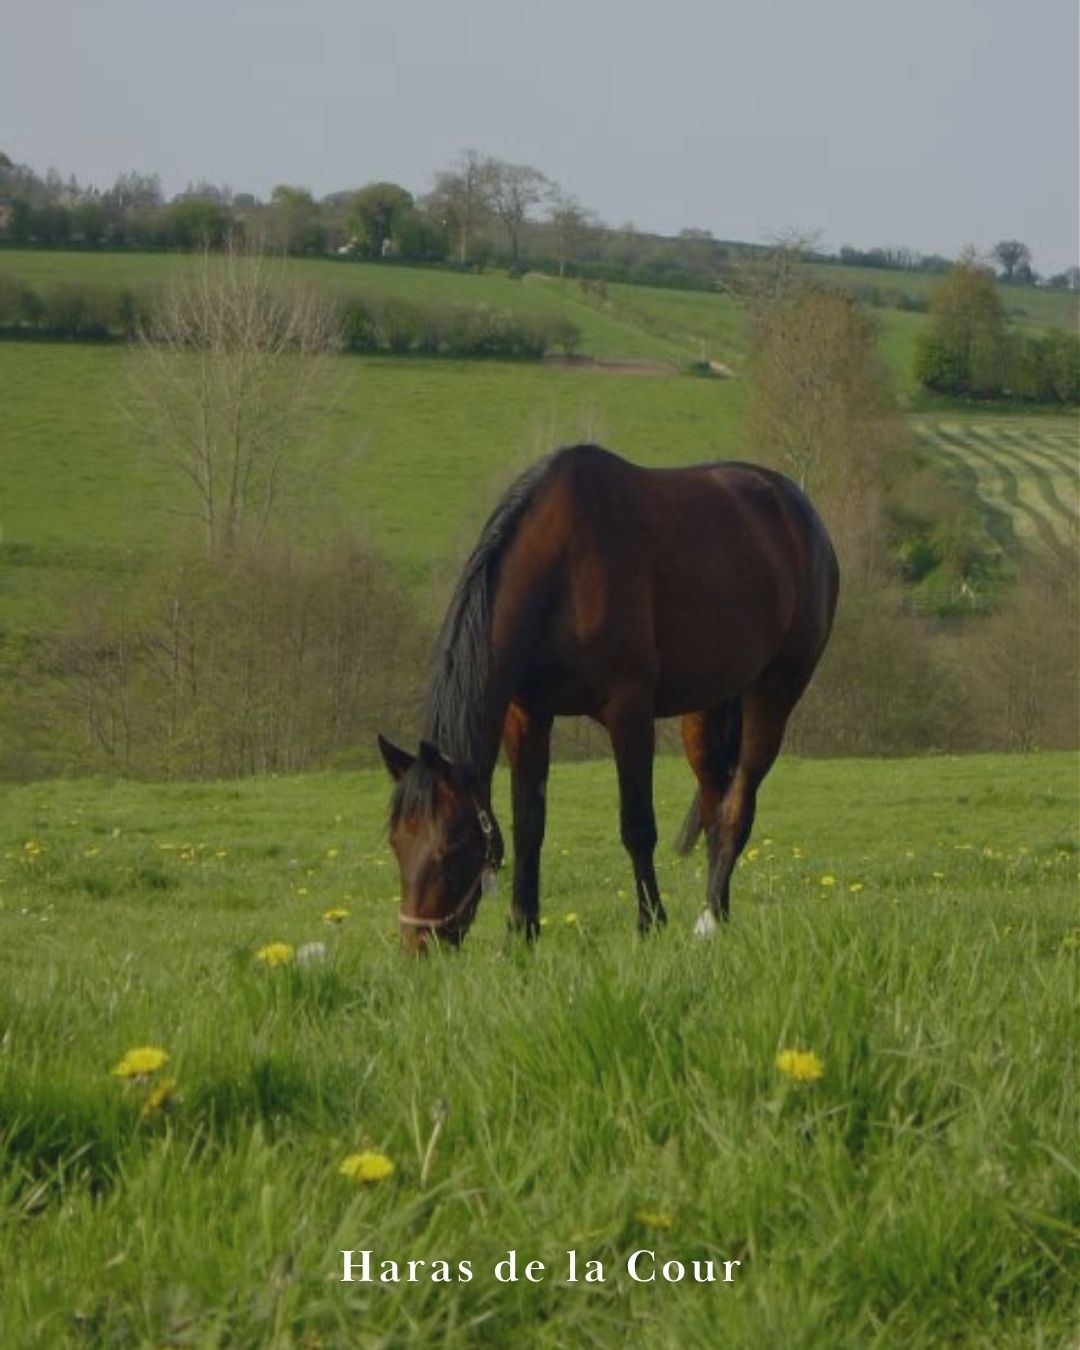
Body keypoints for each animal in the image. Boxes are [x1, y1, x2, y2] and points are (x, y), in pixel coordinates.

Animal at [378, 444, 839, 950]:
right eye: (397, 843)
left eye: (451, 846)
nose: (418, 948)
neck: (562, 570)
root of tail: (801, 512)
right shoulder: (528, 715)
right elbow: (528, 825)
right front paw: (522, 930)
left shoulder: (628, 712)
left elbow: (637, 824)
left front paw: (650, 922)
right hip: (706, 711)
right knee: (716, 807)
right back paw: (715, 912)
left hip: (774, 692)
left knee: (738, 804)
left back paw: (711, 918)